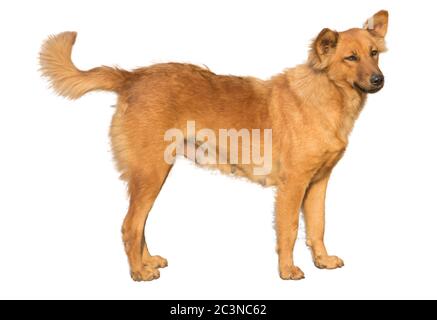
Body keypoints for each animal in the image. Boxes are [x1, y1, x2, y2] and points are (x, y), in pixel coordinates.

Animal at [40, 9, 388, 280]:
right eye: (351, 57)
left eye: (374, 53)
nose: (379, 80)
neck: (326, 96)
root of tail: (131, 77)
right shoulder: (293, 186)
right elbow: (289, 229)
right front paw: (287, 271)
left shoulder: (318, 183)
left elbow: (317, 226)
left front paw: (322, 261)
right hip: (151, 173)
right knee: (130, 226)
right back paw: (138, 272)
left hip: (152, 175)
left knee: (139, 225)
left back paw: (147, 262)